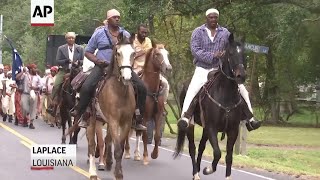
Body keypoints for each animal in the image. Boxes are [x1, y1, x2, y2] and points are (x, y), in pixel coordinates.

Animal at [85, 32, 136, 180]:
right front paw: (118, 174)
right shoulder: (113, 121)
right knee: (92, 144)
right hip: (91, 119)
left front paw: (116, 170)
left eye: (133, 53)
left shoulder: (126, 122)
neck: (120, 92)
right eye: (118, 53)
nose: (127, 78)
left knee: (106, 140)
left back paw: (106, 162)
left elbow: (121, 147)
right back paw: (92, 172)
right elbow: (118, 149)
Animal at [174, 33, 249, 179]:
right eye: (230, 53)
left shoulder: (232, 130)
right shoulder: (212, 128)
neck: (225, 95)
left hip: (205, 129)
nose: (241, 76)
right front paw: (208, 169)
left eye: (244, 54)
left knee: (201, 147)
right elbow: (217, 152)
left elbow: (228, 156)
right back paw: (196, 173)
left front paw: (227, 176)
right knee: (192, 148)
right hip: (191, 125)